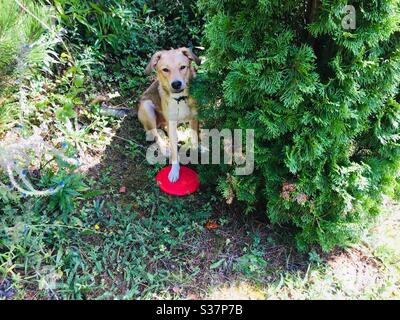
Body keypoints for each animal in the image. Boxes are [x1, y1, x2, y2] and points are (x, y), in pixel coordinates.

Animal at [138, 47, 200, 182]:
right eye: (165, 69)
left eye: (183, 67)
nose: (176, 84)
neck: (180, 99)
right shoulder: (171, 123)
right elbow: (175, 152)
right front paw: (174, 171)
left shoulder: (194, 118)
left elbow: (195, 138)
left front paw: (197, 151)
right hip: (147, 108)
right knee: (155, 133)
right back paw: (164, 148)